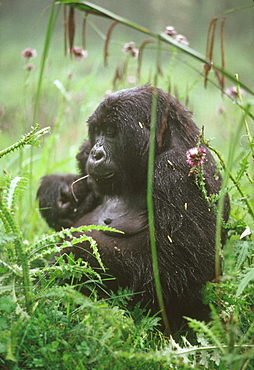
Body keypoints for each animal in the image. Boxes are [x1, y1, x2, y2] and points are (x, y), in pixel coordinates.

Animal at [38, 84, 230, 332]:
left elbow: (179, 272)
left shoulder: (176, 171)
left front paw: (79, 254)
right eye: (98, 131)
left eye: (111, 132)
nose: (95, 154)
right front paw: (54, 194)